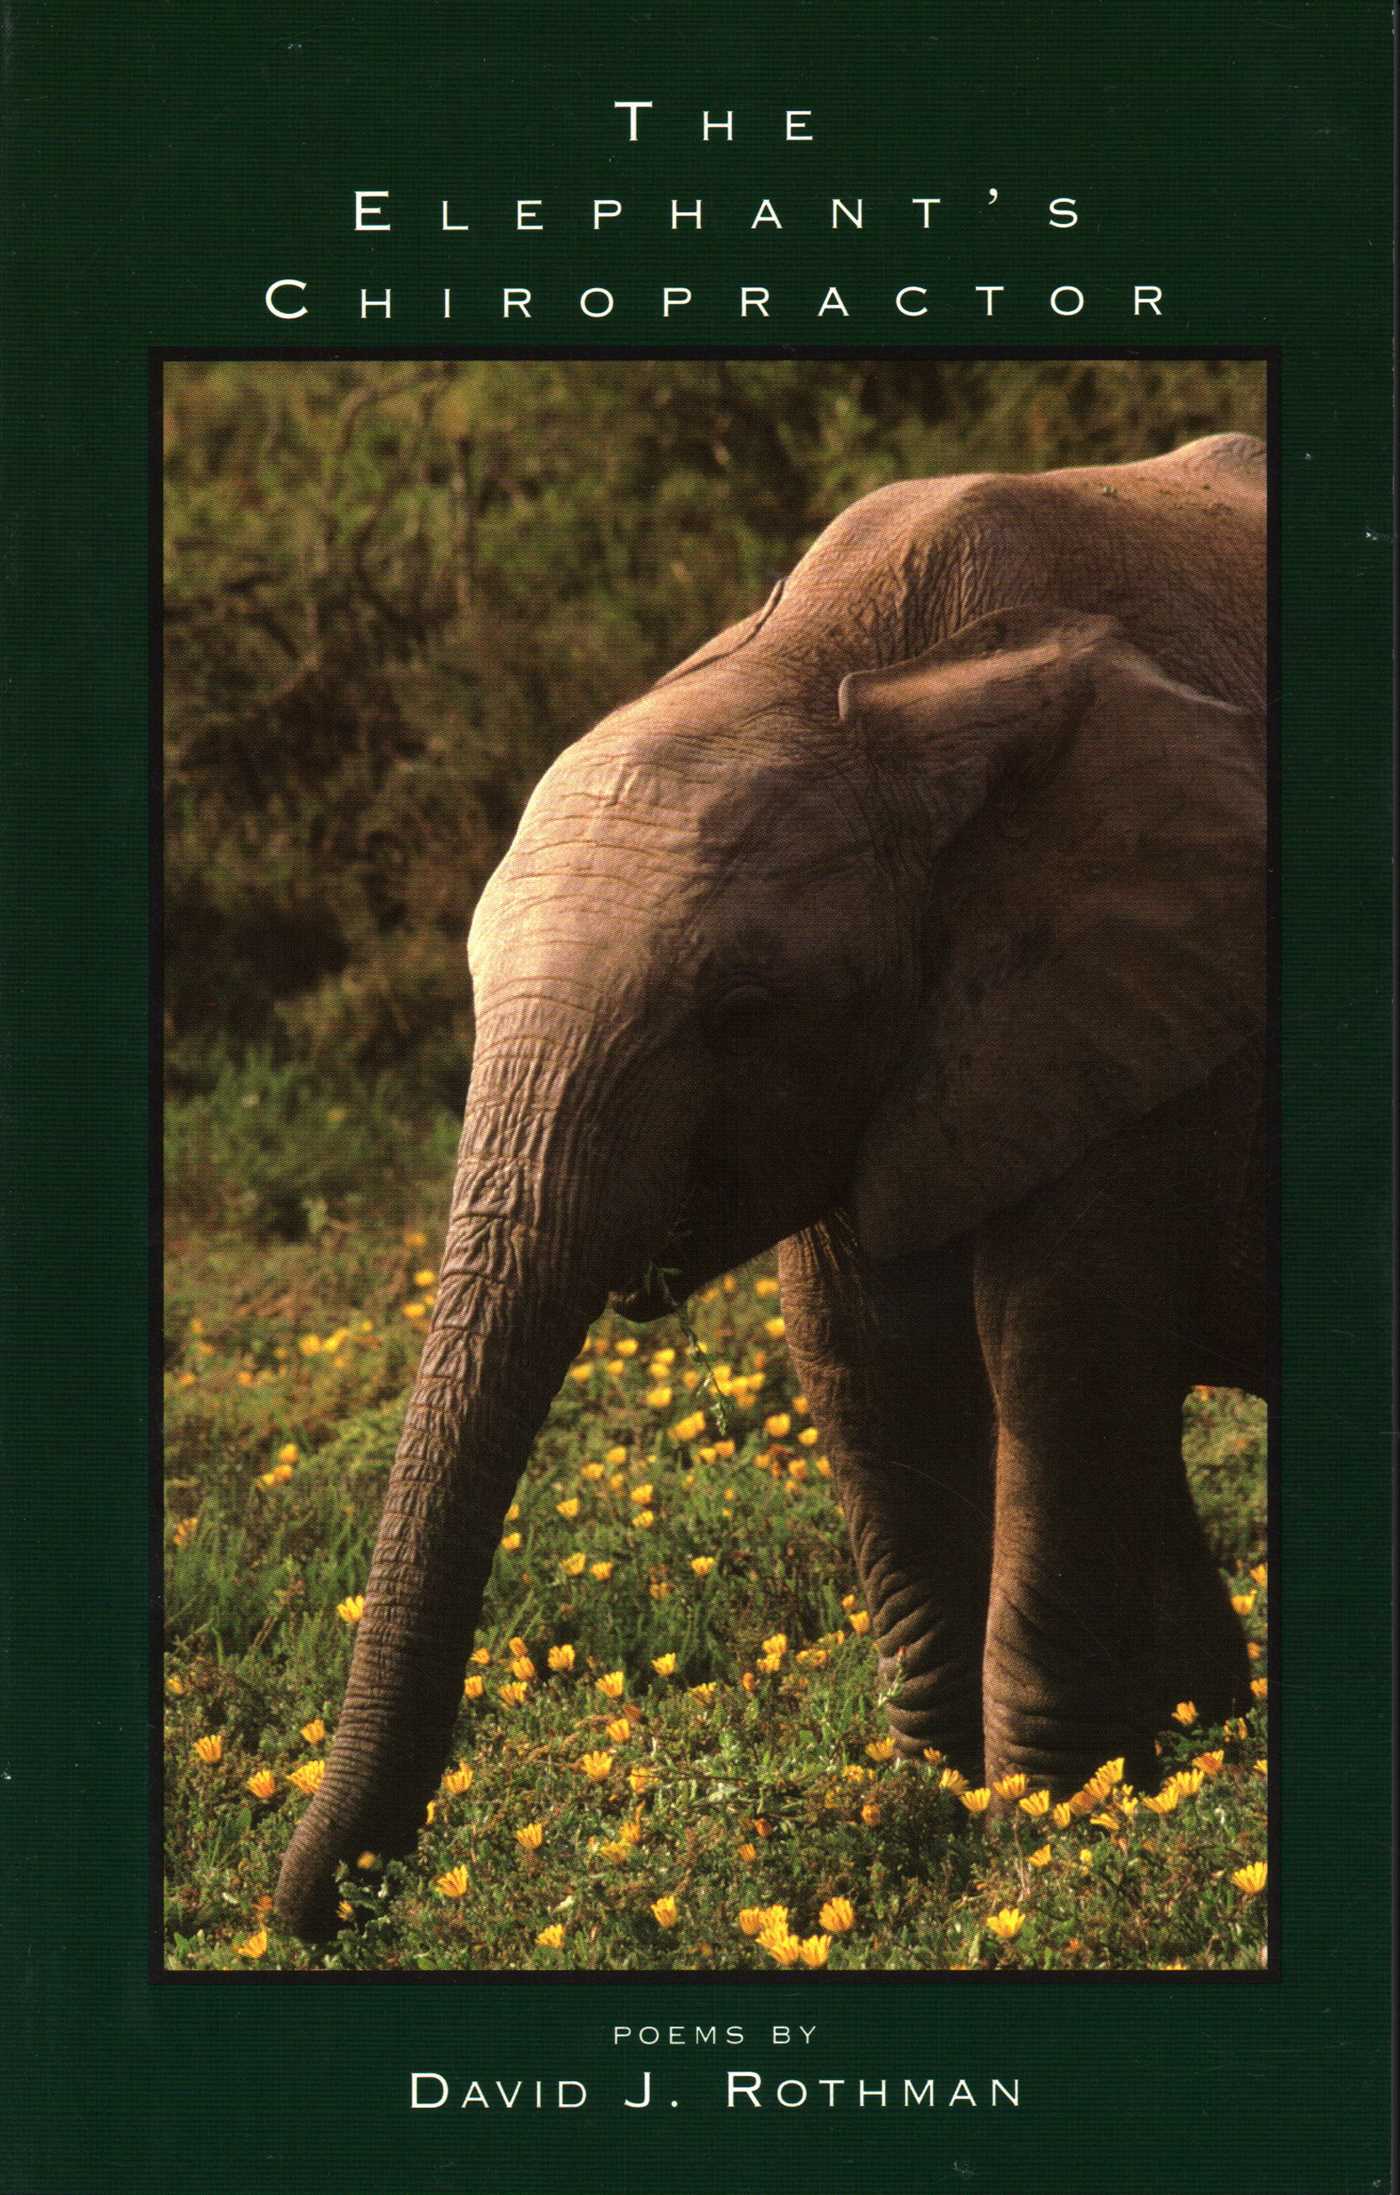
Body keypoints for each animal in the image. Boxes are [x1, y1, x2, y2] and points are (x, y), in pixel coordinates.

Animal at [276, 431, 1267, 1941]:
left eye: (741, 1011)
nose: (328, 1910)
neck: (847, 670)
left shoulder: (1133, 990)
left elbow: (1056, 1352)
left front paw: (1050, 1830)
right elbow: (862, 1357)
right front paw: (935, 1811)